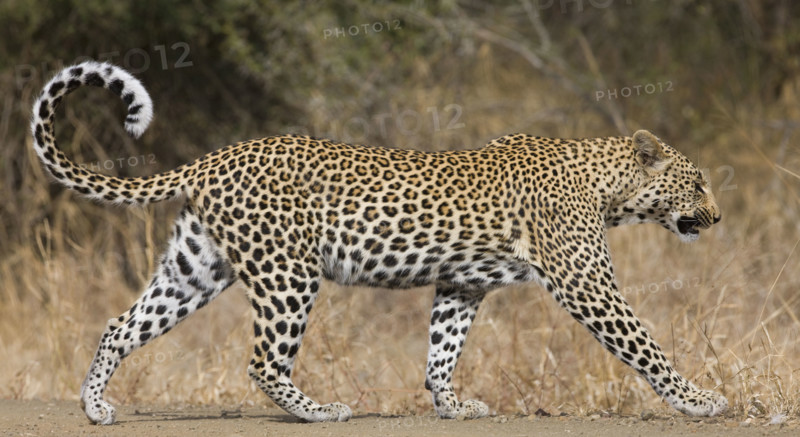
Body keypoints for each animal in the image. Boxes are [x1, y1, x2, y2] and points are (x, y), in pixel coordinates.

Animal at [30, 61, 727, 425]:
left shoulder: (461, 283)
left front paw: (451, 405)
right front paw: (698, 400)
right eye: (696, 182)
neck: (610, 188)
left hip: (195, 267)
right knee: (262, 360)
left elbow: (443, 349)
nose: (718, 218)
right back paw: (318, 411)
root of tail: (212, 158)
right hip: (288, 274)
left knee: (120, 325)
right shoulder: (587, 284)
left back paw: (95, 407)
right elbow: (646, 346)